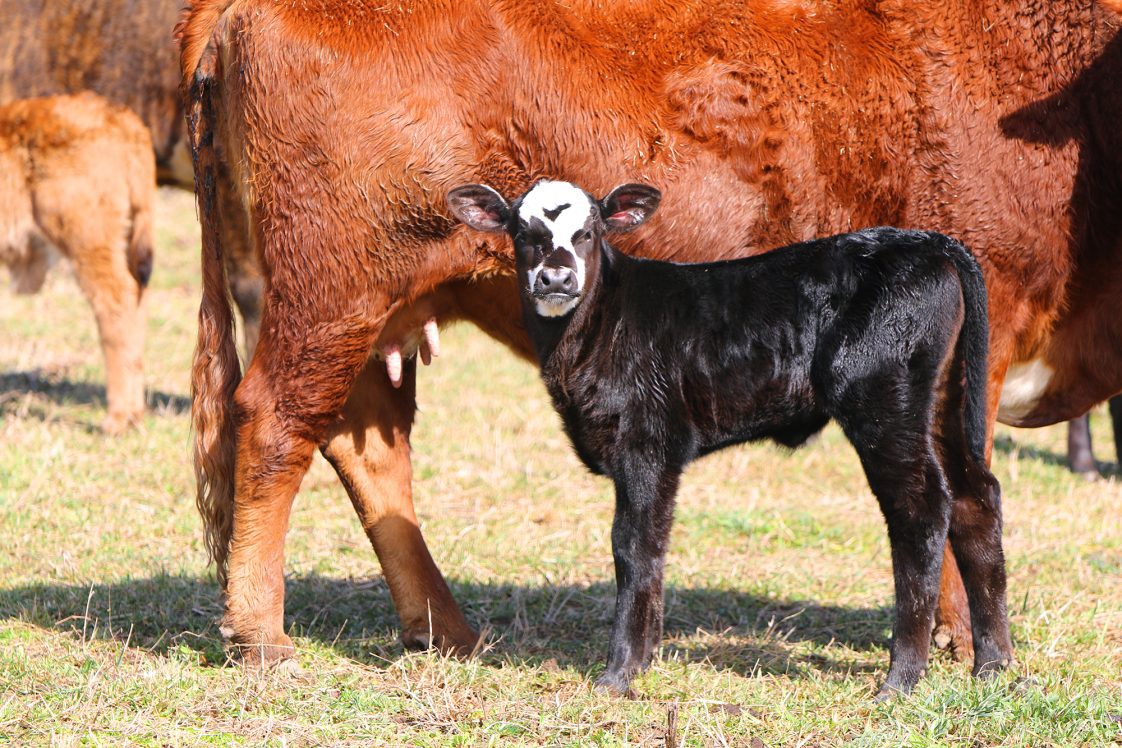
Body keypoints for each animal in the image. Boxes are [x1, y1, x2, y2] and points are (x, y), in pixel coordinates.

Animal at [447, 179, 1009, 696]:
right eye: (524, 233)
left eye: (589, 232)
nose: (556, 277)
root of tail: (926, 242)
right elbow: (656, 543)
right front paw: (645, 661)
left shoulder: (646, 443)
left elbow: (632, 546)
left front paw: (618, 675)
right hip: (943, 403)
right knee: (975, 499)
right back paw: (994, 666)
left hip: (883, 401)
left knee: (920, 507)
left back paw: (902, 677)